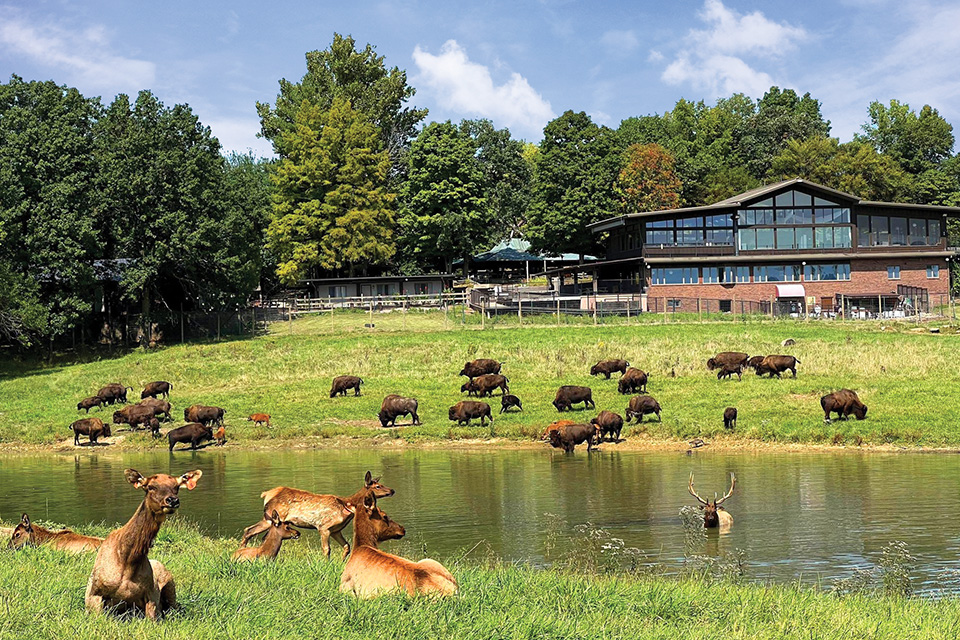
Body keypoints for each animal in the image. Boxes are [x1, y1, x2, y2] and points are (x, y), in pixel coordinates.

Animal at [84, 468, 202, 621]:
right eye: (150, 487)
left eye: (176, 487)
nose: (172, 500)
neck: (127, 560)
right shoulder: (94, 593)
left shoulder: (151, 596)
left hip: (170, 585)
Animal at [239, 471, 395, 559]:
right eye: (378, 486)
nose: (392, 490)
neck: (347, 507)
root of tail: (266, 494)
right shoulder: (324, 527)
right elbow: (326, 549)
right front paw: (326, 564)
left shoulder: (336, 530)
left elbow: (347, 547)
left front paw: (341, 562)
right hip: (271, 517)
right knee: (250, 530)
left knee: (253, 532)